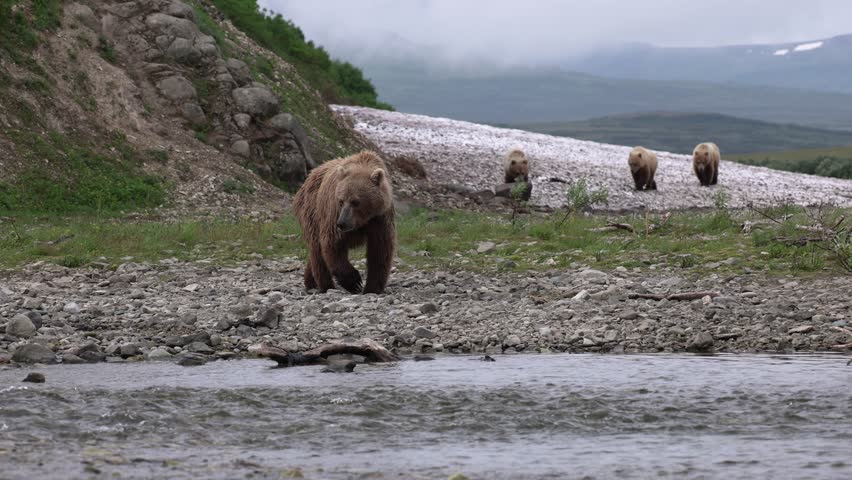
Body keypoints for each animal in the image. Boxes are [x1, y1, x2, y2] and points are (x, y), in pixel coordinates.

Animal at [292, 150, 395, 294]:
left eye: (355, 202)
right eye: (341, 200)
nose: (341, 223)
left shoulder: (379, 218)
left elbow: (379, 249)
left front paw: (372, 288)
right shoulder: (333, 212)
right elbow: (333, 243)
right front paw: (354, 282)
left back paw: (310, 281)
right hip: (312, 211)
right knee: (317, 250)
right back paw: (325, 285)